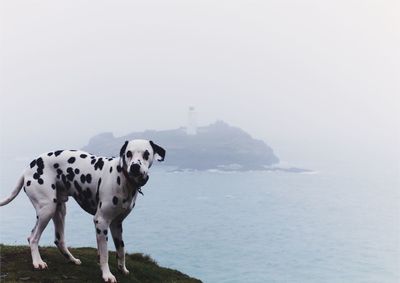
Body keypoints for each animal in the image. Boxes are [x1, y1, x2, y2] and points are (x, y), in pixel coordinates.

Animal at [0, 140, 166, 283]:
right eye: (128, 153)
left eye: (146, 154)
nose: (135, 167)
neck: (122, 178)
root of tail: (28, 168)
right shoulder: (101, 221)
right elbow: (105, 254)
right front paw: (107, 275)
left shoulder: (116, 224)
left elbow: (121, 249)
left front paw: (122, 269)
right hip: (47, 209)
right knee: (33, 237)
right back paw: (37, 262)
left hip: (59, 210)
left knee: (59, 240)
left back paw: (72, 260)